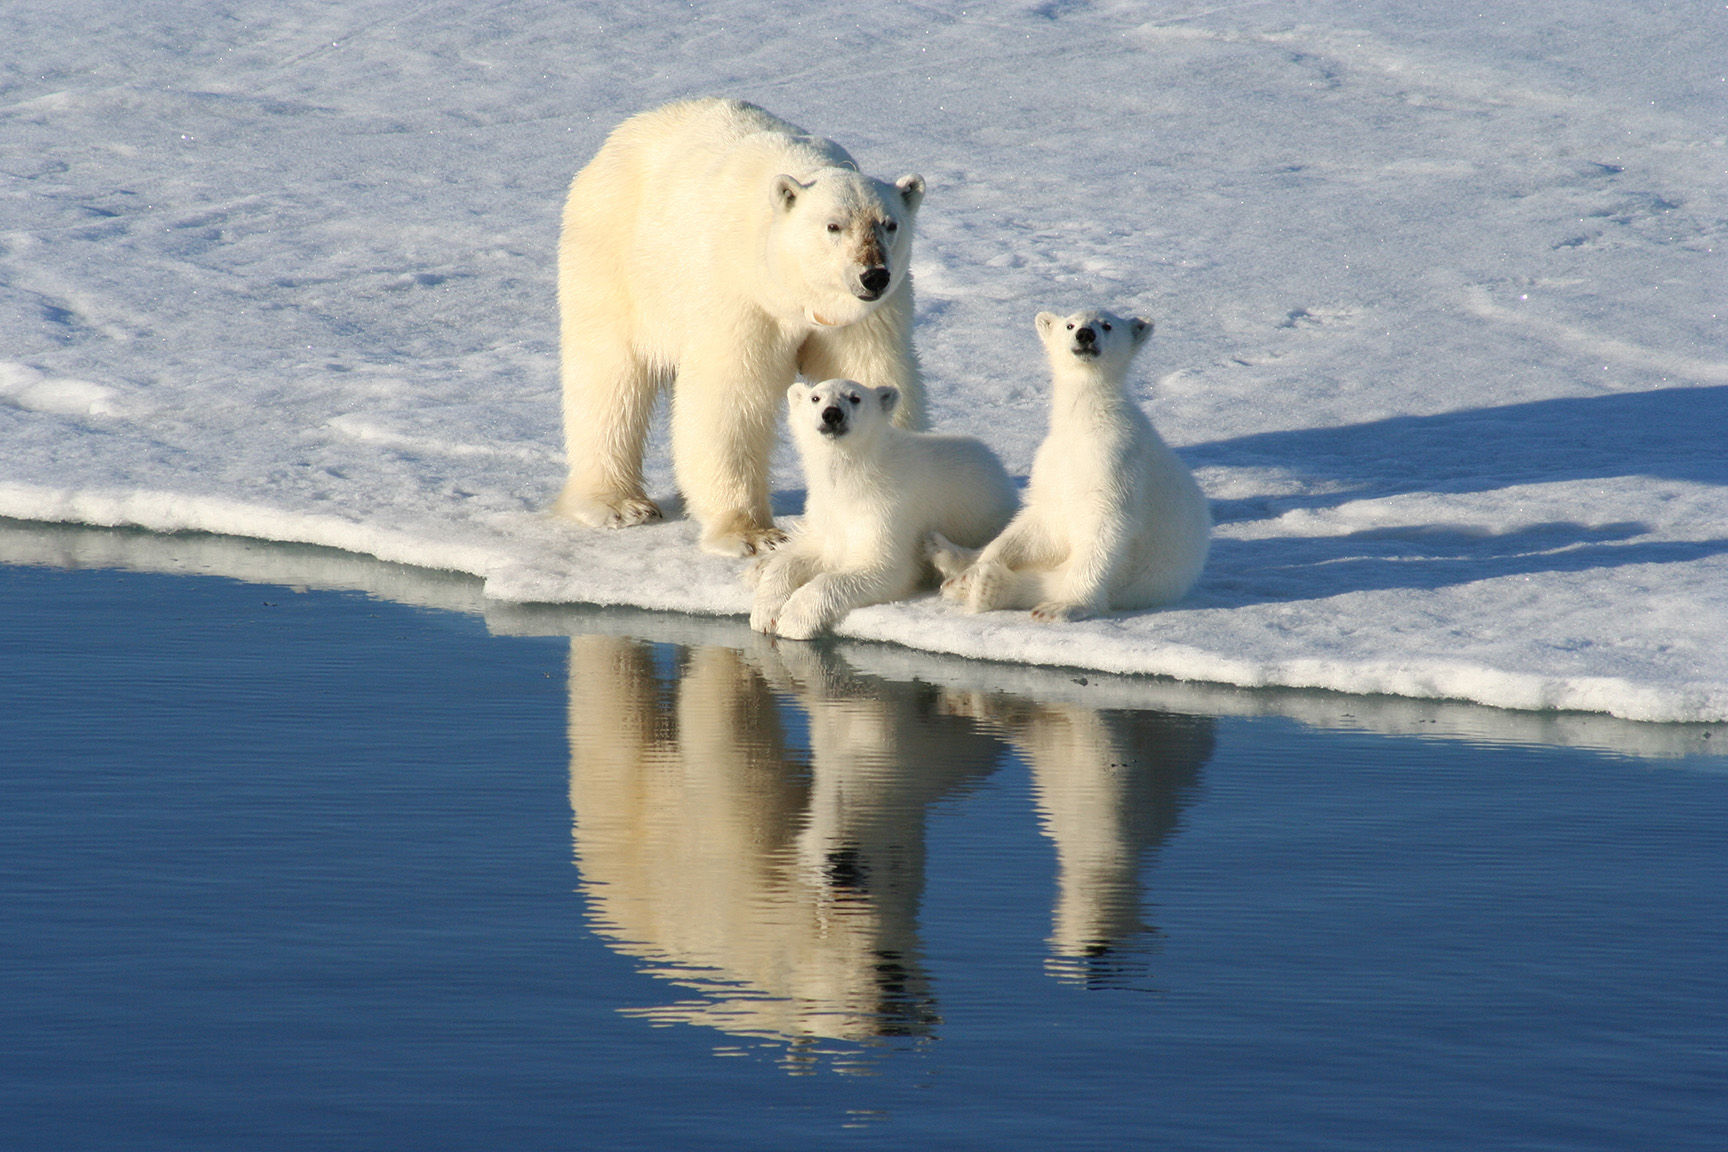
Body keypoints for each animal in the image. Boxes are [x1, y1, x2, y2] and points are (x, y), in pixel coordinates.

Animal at [552, 97, 928, 557]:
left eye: (889, 224)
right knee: (609, 377)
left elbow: (874, 374)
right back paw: (619, 503)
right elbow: (729, 398)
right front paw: (753, 534)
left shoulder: (864, 318)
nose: (872, 275)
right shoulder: (741, 297)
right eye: (833, 225)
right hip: (615, 257)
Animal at [750, 378, 1017, 640]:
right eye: (815, 397)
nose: (832, 414)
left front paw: (793, 620)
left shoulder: (888, 508)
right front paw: (765, 613)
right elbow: (805, 556)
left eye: (855, 397)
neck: (854, 480)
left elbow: (882, 567)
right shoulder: (827, 513)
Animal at [928, 307, 1210, 622]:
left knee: (1052, 579)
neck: (1085, 424)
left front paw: (1064, 606)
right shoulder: (1053, 463)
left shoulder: (1115, 462)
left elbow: (1104, 529)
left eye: (1107, 325)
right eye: (1070, 324)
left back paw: (987, 587)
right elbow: (1040, 523)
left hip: (1143, 581)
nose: (1085, 334)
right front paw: (973, 569)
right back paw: (947, 555)